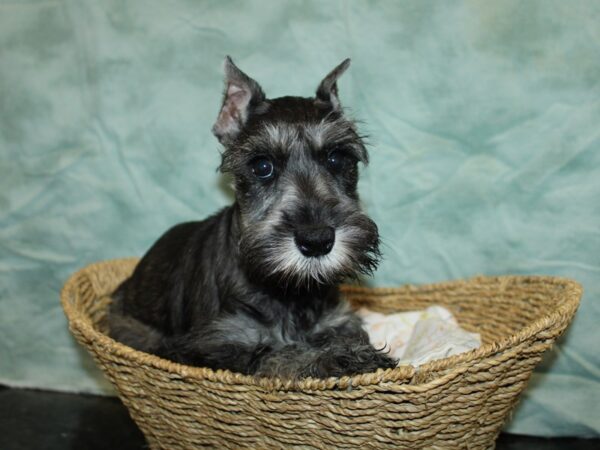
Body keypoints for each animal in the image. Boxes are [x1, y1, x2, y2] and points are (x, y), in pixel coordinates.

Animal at [108, 57, 398, 380]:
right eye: (262, 166)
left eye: (337, 158)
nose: (317, 240)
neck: (289, 292)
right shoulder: (211, 346)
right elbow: (276, 353)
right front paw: (335, 359)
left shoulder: (339, 319)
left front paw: (352, 351)